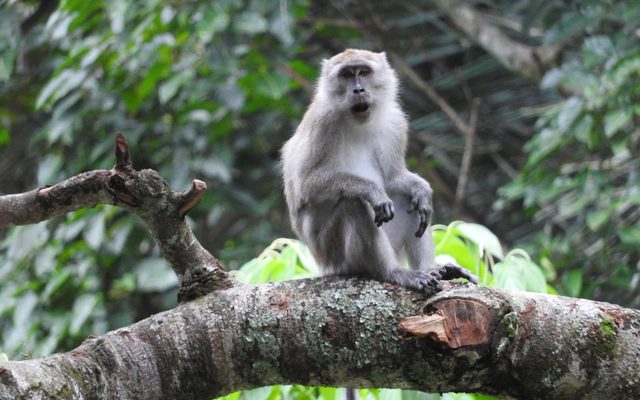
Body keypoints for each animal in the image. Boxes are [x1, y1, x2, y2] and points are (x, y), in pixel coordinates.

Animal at [281, 49, 477, 294]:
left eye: (364, 72)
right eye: (346, 75)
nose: (358, 89)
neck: (357, 122)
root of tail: (323, 266)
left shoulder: (396, 122)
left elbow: (393, 178)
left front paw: (421, 189)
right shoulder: (322, 122)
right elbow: (306, 186)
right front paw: (372, 190)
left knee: (408, 200)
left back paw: (432, 270)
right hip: (335, 256)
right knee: (352, 203)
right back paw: (392, 272)